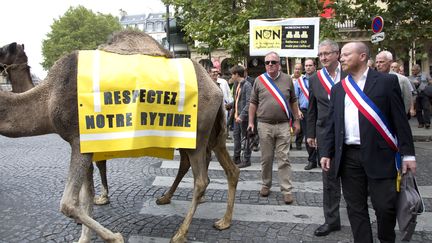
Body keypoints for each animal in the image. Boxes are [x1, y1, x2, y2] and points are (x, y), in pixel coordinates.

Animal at [0, 30, 240, 243]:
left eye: (4, 49)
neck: (48, 99)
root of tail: (216, 88)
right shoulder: (86, 145)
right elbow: (86, 196)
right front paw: (85, 237)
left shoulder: (78, 141)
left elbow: (68, 203)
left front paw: (114, 237)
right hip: (214, 134)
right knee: (229, 169)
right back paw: (221, 220)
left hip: (197, 134)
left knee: (201, 180)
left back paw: (180, 234)